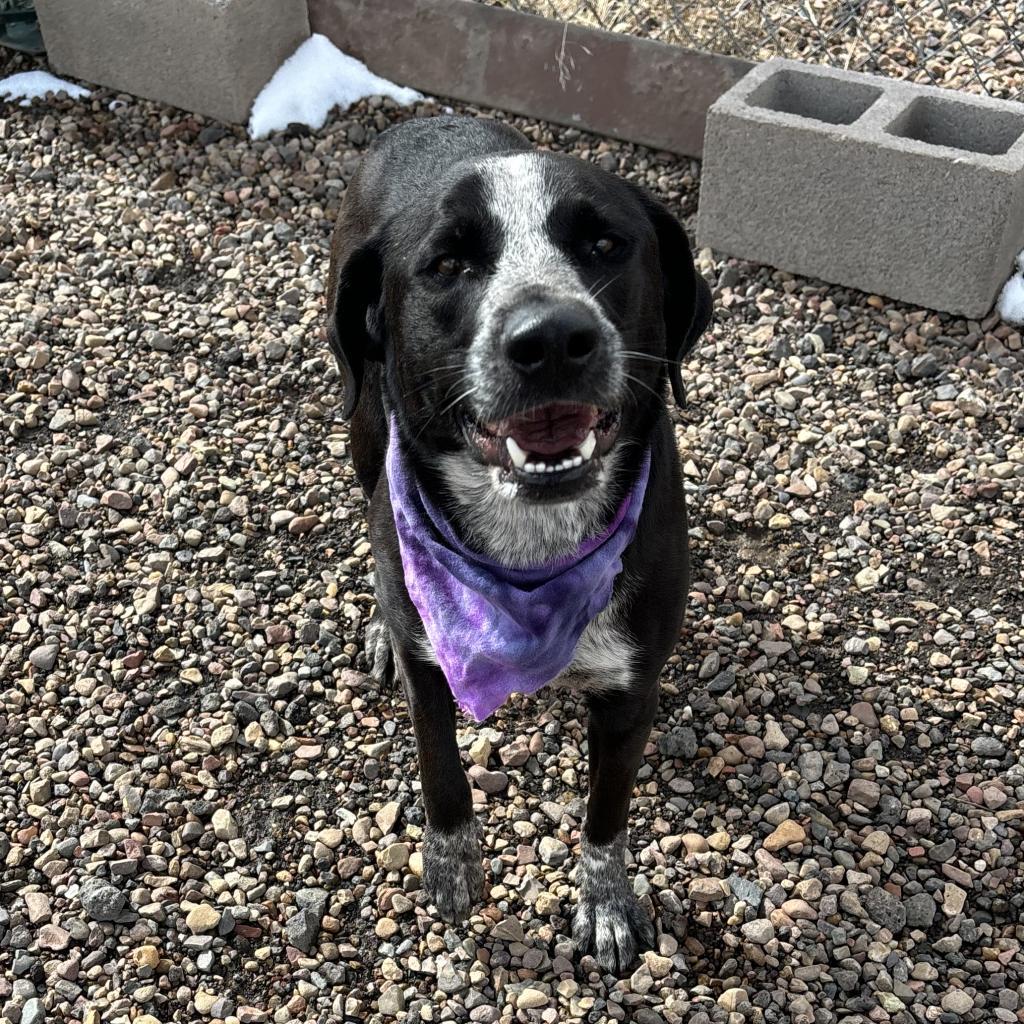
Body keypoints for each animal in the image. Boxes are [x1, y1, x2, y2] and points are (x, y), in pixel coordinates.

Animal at [327, 116, 712, 970]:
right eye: (446, 264)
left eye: (605, 245)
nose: (554, 338)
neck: (530, 553)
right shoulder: (433, 669)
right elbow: (441, 774)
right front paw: (452, 868)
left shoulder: (632, 689)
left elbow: (607, 814)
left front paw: (606, 904)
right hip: (362, 426)